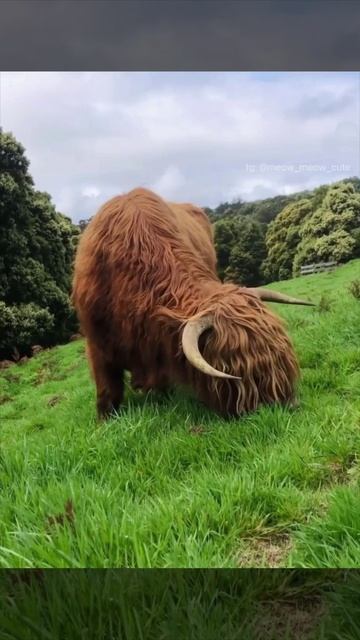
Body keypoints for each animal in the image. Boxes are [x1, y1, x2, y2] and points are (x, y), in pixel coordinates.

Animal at [71, 189, 314, 420]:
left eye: (283, 356)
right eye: (246, 369)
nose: (290, 404)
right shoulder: (97, 342)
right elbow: (107, 388)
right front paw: (104, 419)